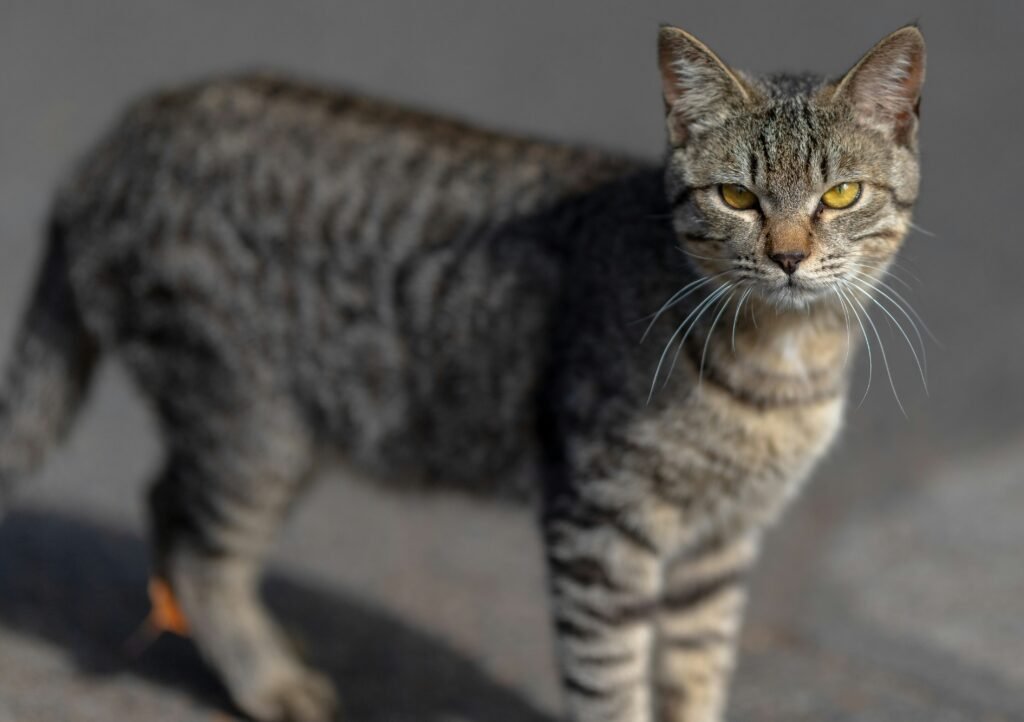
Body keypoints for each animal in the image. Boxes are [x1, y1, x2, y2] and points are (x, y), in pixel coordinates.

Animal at [0, 22, 929, 720]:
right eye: (737, 198)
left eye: (840, 196)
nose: (788, 257)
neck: (784, 358)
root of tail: (124, 131)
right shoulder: (600, 525)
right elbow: (611, 683)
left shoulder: (719, 546)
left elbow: (693, 678)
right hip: (252, 426)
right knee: (199, 546)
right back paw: (266, 680)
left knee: (171, 509)